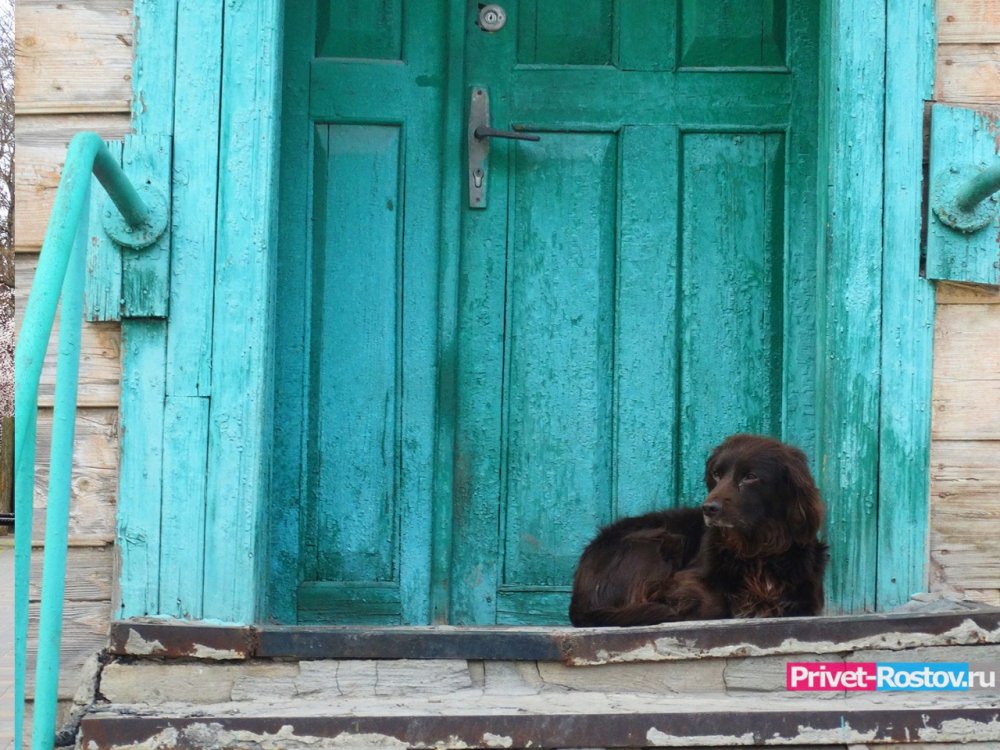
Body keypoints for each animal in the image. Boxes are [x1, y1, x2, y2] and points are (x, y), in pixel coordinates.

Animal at [572, 434, 828, 628]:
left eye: (750, 477)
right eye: (716, 473)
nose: (708, 508)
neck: (755, 549)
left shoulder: (808, 597)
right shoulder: (686, 577)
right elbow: (716, 603)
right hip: (659, 541)